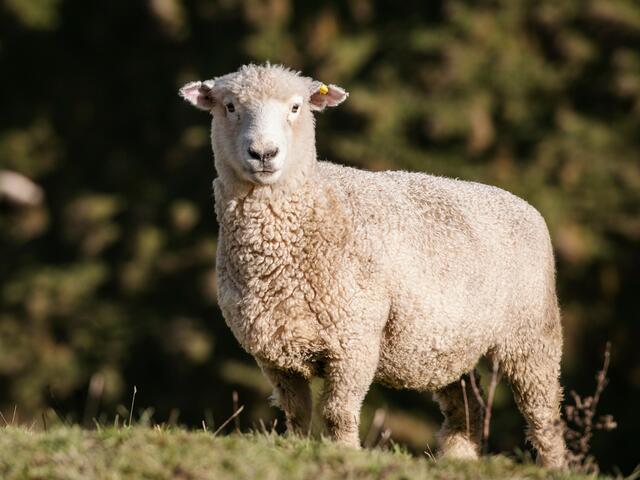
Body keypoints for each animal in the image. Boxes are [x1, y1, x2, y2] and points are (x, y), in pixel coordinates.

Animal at [179, 63, 567, 468]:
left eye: (296, 107)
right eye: (230, 106)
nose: (264, 153)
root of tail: (524, 204)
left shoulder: (355, 340)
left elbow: (337, 413)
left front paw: (344, 455)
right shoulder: (274, 351)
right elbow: (296, 414)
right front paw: (296, 450)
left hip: (532, 334)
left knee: (544, 415)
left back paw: (553, 466)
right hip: (450, 344)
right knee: (467, 408)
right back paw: (459, 460)